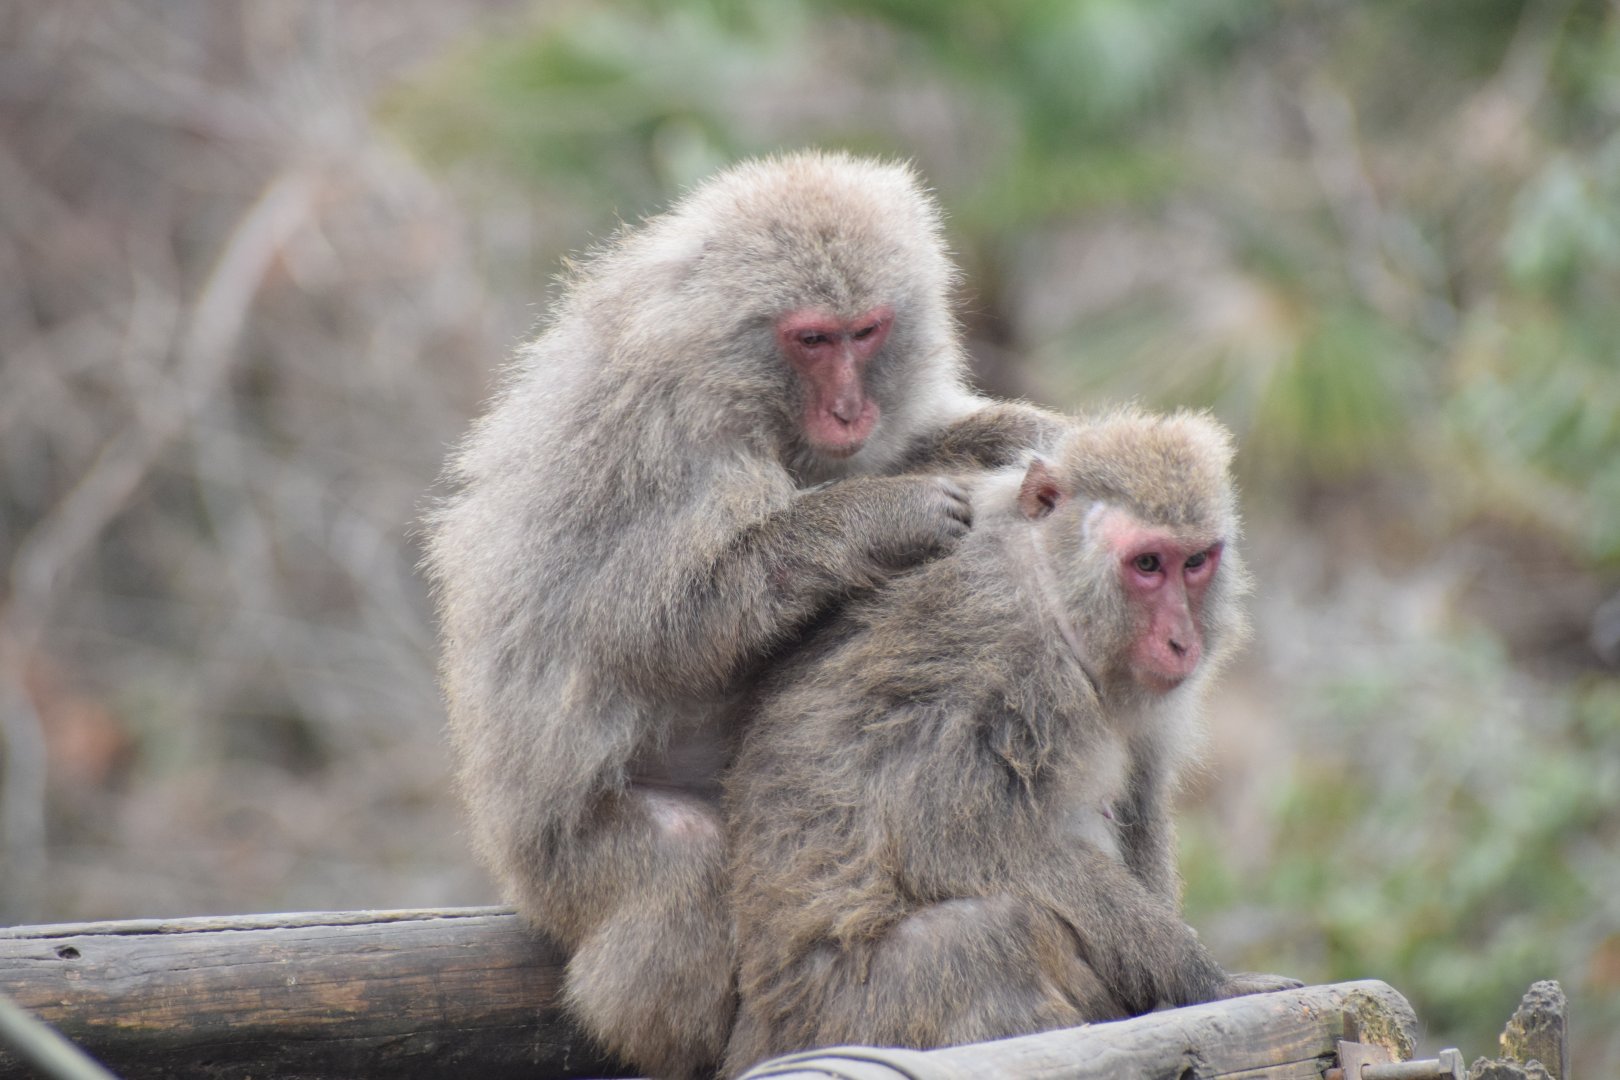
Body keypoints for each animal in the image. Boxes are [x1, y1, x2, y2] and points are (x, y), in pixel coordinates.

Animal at [420, 151, 1064, 1079]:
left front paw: (1009, 433)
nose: (850, 410)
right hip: (560, 864)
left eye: (866, 331)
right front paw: (883, 515)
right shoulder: (667, 436)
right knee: (681, 860)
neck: (734, 377)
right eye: (812, 339)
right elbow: (658, 627)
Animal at [723, 408, 1301, 1076]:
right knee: (985, 932)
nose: (1182, 642)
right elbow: (947, 840)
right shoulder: (999, 662)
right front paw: (1203, 979)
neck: (1051, 588)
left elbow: (1137, 808)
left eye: (1196, 561)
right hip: (838, 1016)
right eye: (1148, 564)